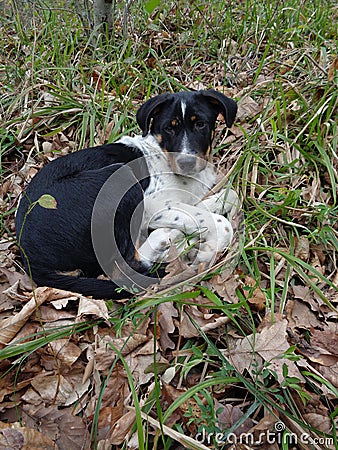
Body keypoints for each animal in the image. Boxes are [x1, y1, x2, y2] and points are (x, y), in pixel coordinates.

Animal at [15, 89, 238, 298]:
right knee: (126, 266)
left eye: (200, 124)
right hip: (120, 178)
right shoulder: (153, 204)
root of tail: (30, 259)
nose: (186, 162)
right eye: (168, 128)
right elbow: (219, 222)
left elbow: (226, 198)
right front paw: (207, 250)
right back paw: (166, 238)